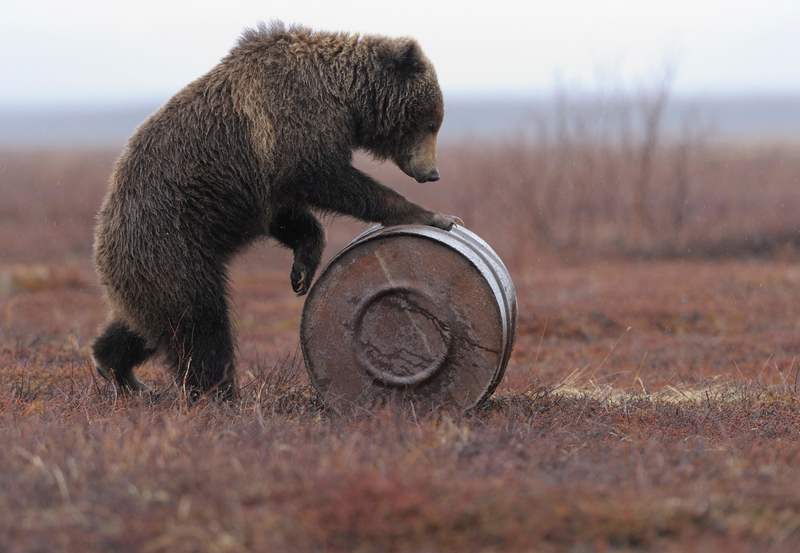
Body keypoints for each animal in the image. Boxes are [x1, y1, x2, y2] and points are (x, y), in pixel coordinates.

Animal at [90, 21, 460, 398]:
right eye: (432, 122)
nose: (432, 173)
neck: (343, 99)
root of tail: (103, 238)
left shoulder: (267, 183)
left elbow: (288, 218)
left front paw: (302, 271)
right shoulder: (293, 120)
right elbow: (326, 176)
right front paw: (432, 215)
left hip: (153, 268)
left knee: (144, 324)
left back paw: (119, 369)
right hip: (172, 242)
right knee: (200, 323)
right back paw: (219, 392)